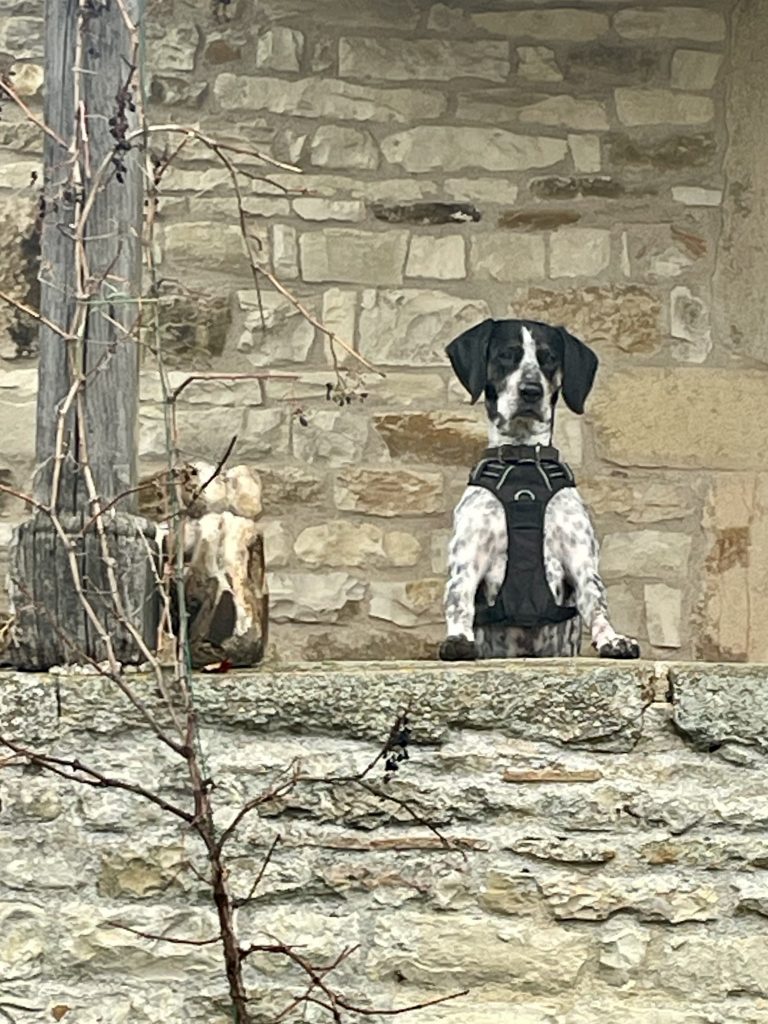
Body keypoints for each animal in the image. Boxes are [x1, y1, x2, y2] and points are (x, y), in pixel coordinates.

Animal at [438, 318, 640, 661]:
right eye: (507, 355)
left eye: (548, 359)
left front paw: (612, 639)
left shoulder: (580, 559)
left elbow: (596, 601)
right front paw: (458, 639)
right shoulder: (470, 556)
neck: (522, 462)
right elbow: (459, 597)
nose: (531, 391)